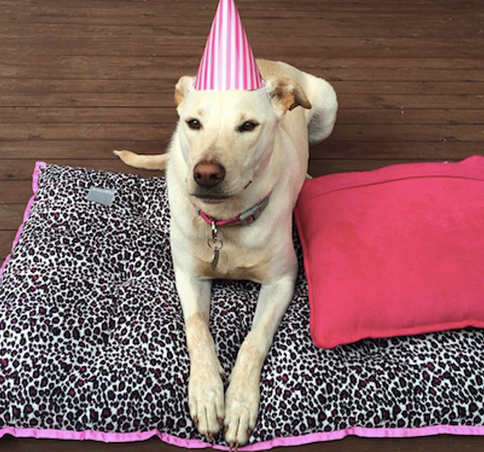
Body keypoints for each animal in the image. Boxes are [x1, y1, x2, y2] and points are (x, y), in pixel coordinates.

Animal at [114, 59, 337, 448]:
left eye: (247, 126)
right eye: (194, 123)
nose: (206, 174)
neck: (225, 222)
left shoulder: (282, 280)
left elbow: (254, 340)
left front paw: (239, 404)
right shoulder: (188, 276)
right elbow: (197, 329)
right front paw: (206, 394)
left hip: (327, 102)